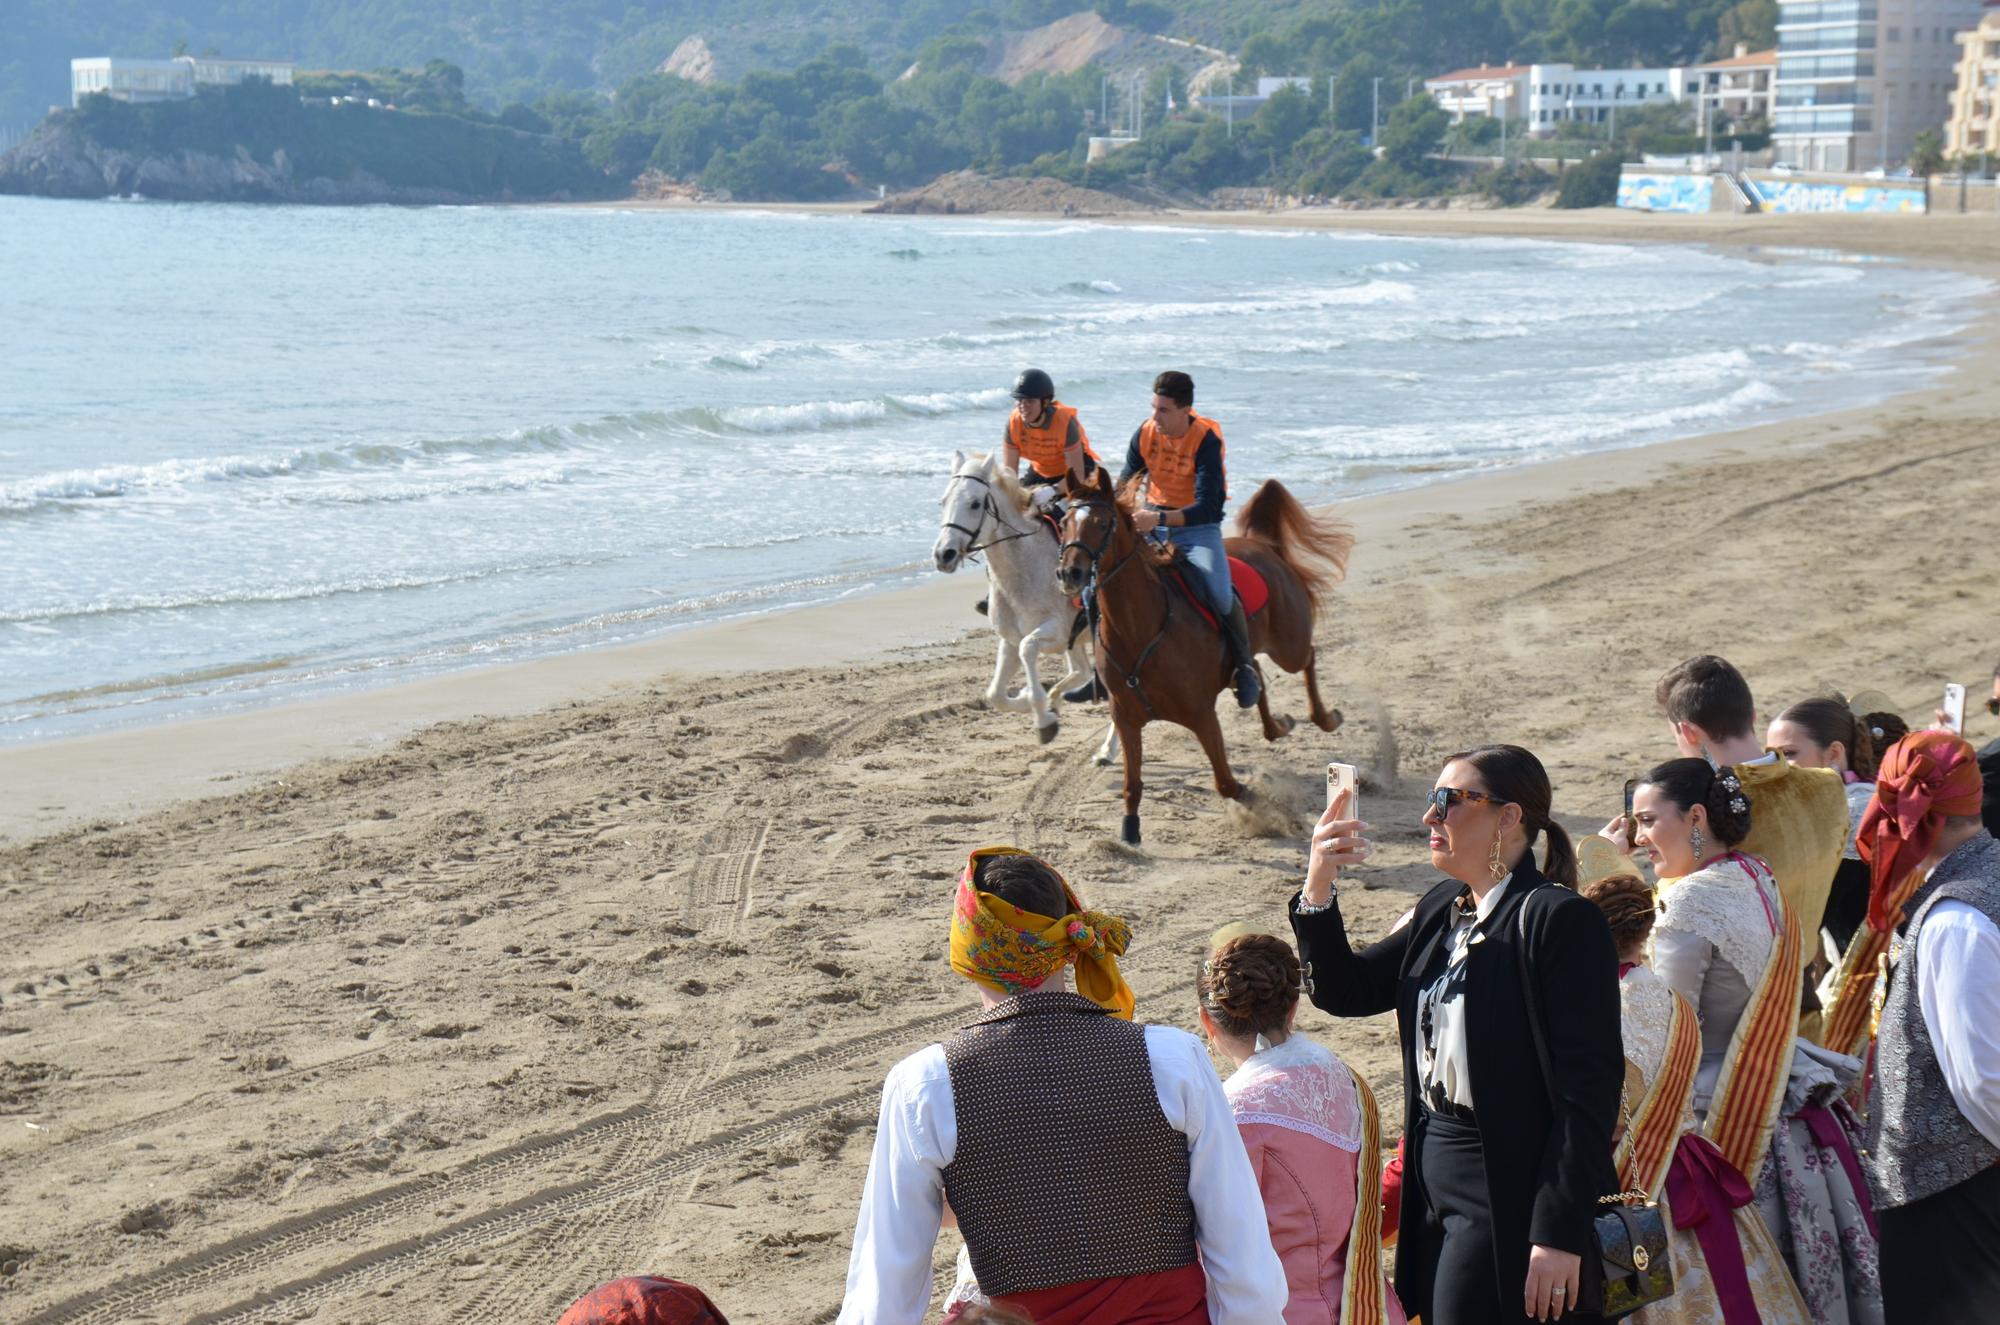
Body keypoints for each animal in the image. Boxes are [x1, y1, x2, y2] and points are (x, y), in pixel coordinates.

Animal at [936, 454, 1096, 748]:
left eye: (975, 503)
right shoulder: (1010, 639)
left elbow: (1028, 648)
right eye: (943, 501)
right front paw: (1034, 703)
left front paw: (1043, 720)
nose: (944, 554)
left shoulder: (1056, 631)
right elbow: (995, 695)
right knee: (1082, 671)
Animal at [1056, 472, 1352, 844]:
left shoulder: (1201, 714)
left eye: (1102, 522)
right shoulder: (1125, 718)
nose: (1070, 574)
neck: (1140, 630)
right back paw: (1278, 725)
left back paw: (1326, 718)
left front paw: (1255, 799)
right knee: (1255, 673)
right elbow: (1132, 785)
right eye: (1064, 522)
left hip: (1289, 646)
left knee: (1307, 658)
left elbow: (1225, 782)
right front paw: (1130, 829)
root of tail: (1260, 544)